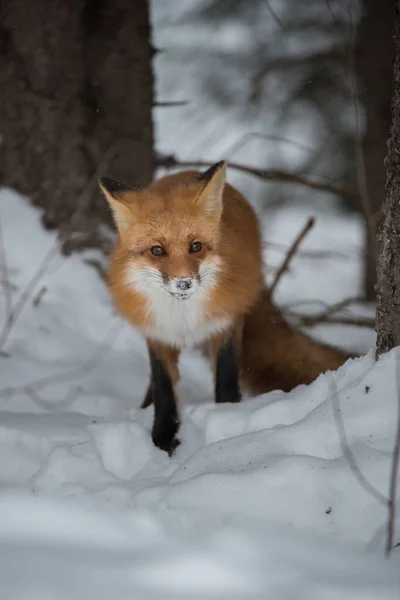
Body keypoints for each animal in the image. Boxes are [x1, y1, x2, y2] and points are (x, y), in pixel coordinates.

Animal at [101, 162, 350, 452]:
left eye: (196, 246)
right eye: (157, 250)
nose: (184, 283)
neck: (185, 319)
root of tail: (186, 172)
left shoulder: (226, 323)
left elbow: (227, 377)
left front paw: (227, 422)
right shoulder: (158, 334)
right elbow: (164, 388)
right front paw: (162, 438)